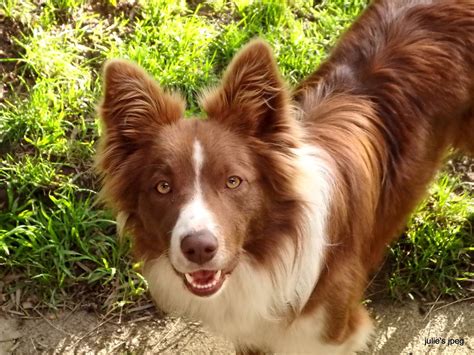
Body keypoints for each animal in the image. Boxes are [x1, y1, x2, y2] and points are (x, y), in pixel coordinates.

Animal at [96, 1, 474, 354]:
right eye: (162, 187)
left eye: (233, 181)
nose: (198, 248)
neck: (267, 254)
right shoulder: (251, 335)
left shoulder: (331, 334)